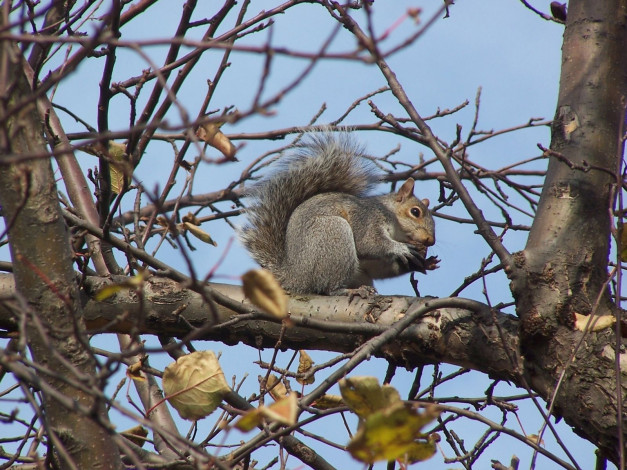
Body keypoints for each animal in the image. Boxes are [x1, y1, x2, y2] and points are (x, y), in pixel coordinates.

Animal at [238, 132, 440, 294]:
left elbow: (379, 268)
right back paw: (346, 291)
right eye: (415, 212)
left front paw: (425, 263)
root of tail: (295, 278)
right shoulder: (367, 217)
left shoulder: (370, 265)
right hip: (334, 236)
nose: (430, 240)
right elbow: (368, 242)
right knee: (328, 287)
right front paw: (401, 248)